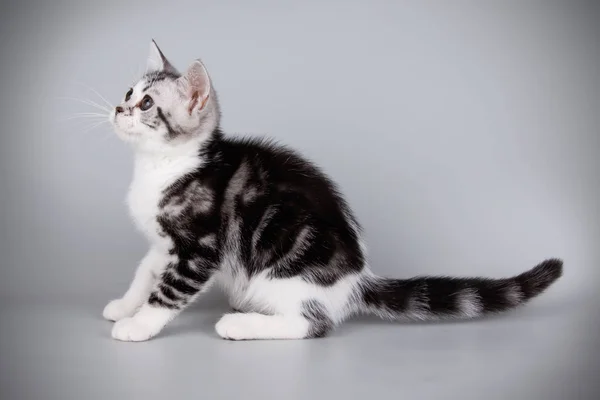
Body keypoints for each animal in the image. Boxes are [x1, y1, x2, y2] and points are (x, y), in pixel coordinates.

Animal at [102, 39, 564, 340]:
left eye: (147, 104)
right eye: (128, 92)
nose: (119, 107)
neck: (162, 164)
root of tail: (356, 280)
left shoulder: (198, 248)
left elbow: (168, 291)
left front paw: (138, 325)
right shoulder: (164, 245)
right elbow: (146, 274)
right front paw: (125, 305)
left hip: (282, 272)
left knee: (312, 323)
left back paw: (242, 324)